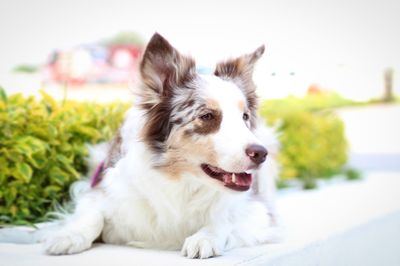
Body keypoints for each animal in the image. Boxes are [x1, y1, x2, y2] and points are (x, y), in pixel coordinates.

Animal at [40, 32, 280, 258]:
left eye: (245, 117)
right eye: (207, 116)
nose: (261, 154)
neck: (180, 182)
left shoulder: (259, 209)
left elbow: (224, 219)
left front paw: (204, 237)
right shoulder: (101, 189)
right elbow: (92, 213)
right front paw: (69, 235)